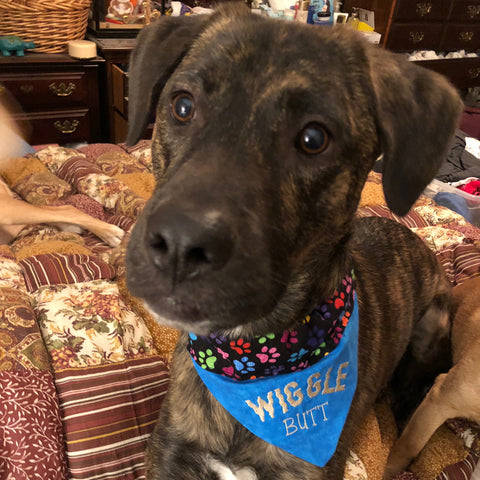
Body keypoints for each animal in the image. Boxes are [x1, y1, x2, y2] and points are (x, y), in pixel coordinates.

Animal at [125, 4, 464, 480]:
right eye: (182, 105)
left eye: (313, 138)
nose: (178, 244)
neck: (253, 362)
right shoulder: (170, 456)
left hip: (435, 324)